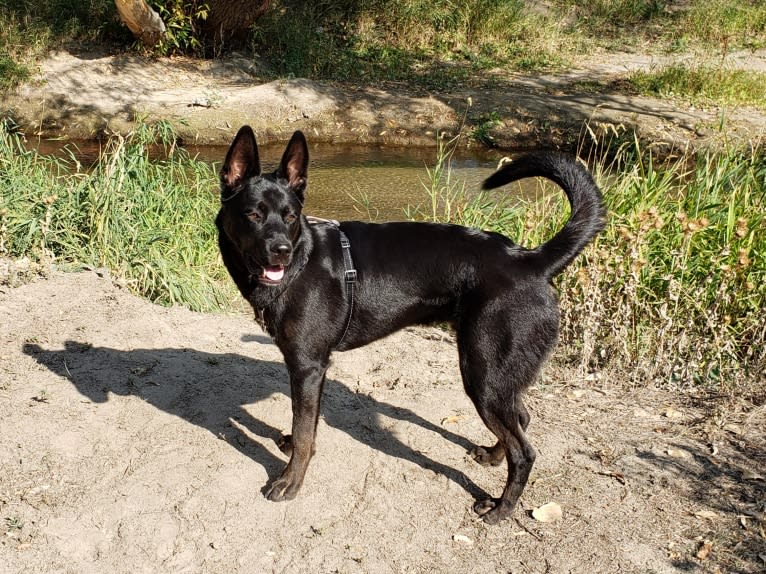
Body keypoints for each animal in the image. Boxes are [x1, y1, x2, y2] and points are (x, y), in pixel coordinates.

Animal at [216, 126, 608, 528]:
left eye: (291, 216)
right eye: (253, 214)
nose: (280, 250)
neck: (301, 260)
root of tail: (530, 260)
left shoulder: (308, 366)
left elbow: (305, 430)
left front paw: (290, 482)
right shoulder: (305, 367)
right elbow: (302, 426)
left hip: (482, 375)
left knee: (525, 452)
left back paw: (501, 509)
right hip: (497, 375)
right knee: (522, 418)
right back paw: (493, 457)